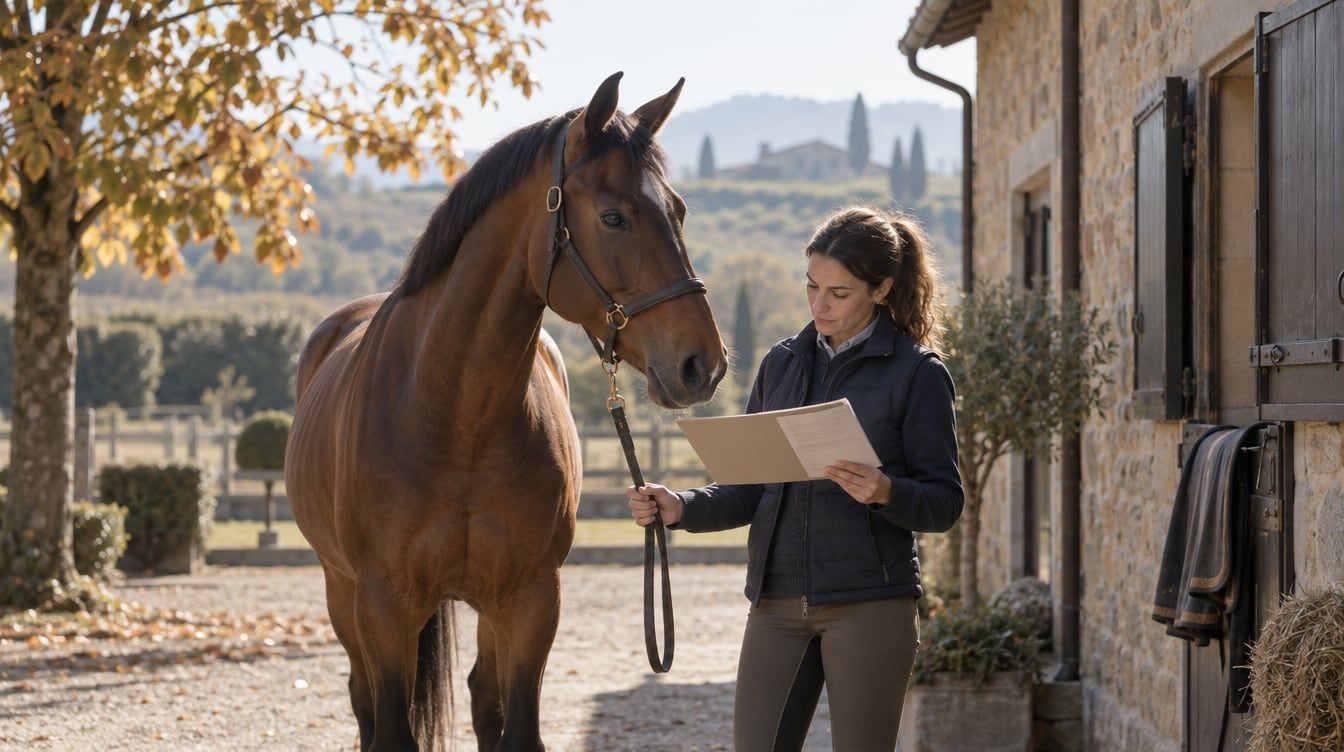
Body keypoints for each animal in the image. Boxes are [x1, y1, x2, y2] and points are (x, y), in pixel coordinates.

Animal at [285, 72, 728, 752]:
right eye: (614, 217)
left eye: (677, 210)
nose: (702, 364)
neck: (456, 416)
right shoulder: (382, 601)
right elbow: (390, 725)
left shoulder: (530, 598)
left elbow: (515, 724)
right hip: (342, 590)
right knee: (364, 701)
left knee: (480, 696)